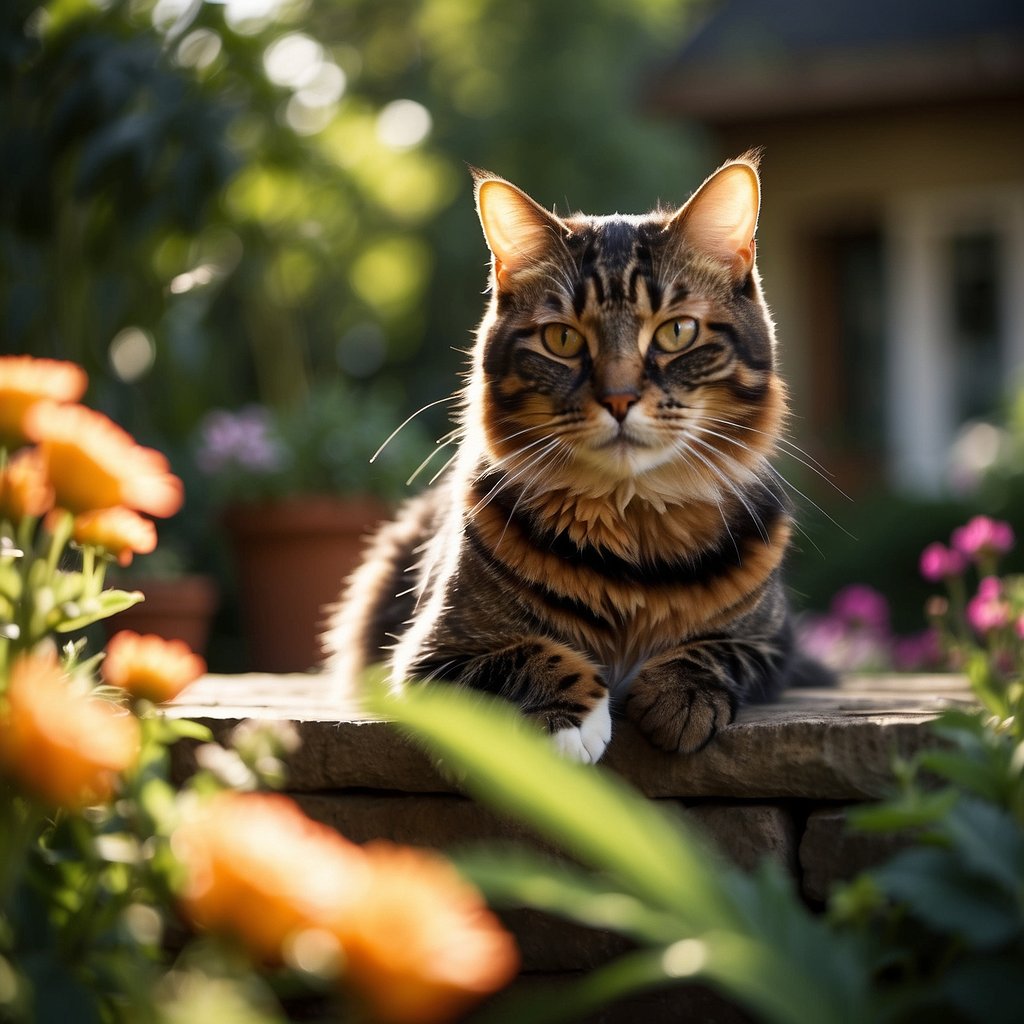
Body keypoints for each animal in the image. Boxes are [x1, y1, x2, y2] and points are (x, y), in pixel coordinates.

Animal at [323, 151, 827, 761]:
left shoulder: (774, 643)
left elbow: (714, 649)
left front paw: (678, 697)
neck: (633, 532)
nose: (619, 399)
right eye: (562, 340)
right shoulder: (426, 657)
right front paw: (571, 721)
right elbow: (532, 653)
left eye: (677, 332)